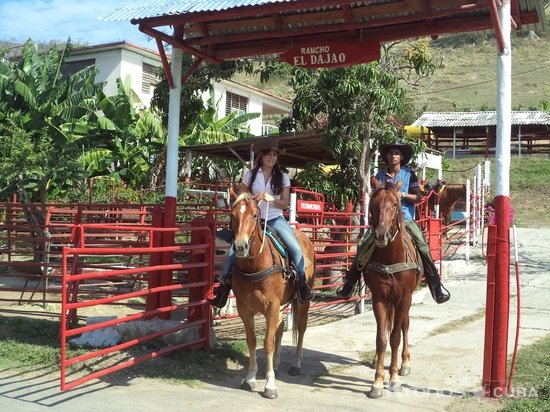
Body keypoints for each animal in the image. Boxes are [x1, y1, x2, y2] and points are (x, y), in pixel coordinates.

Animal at [229, 192, 316, 400]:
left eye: (254, 215)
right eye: (232, 215)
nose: (241, 247)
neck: (255, 266)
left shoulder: (272, 306)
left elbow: (267, 342)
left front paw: (270, 385)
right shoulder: (244, 308)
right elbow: (252, 340)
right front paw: (250, 377)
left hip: (302, 302)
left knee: (301, 328)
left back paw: (296, 364)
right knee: (281, 324)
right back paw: (275, 362)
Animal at [364, 181, 424, 400]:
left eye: (395, 204)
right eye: (373, 204)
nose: (381, 234)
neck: (391, 257)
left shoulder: (404, 298)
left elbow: (396, 336)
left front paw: (394, 378)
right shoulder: (379, 298)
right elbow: (382, 338)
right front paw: (377, 382)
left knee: (404, 325)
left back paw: (404, 363)